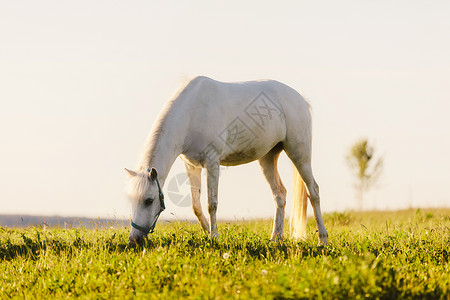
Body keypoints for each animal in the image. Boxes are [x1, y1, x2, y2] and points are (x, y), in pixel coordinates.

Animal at [125, 77, 328, 246]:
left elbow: (211, 203)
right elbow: (196, 206)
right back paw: (275, 239)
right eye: (130, 199)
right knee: (280, 194)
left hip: (299, 154)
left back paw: (323, 239)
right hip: (268, 157)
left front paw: (214, 237)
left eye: (149, 200)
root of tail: (299, 99)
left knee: (313, 192)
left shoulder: (212, 162)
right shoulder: (191, 165)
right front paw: (208, 232)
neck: (192, 113)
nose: (134, 240)